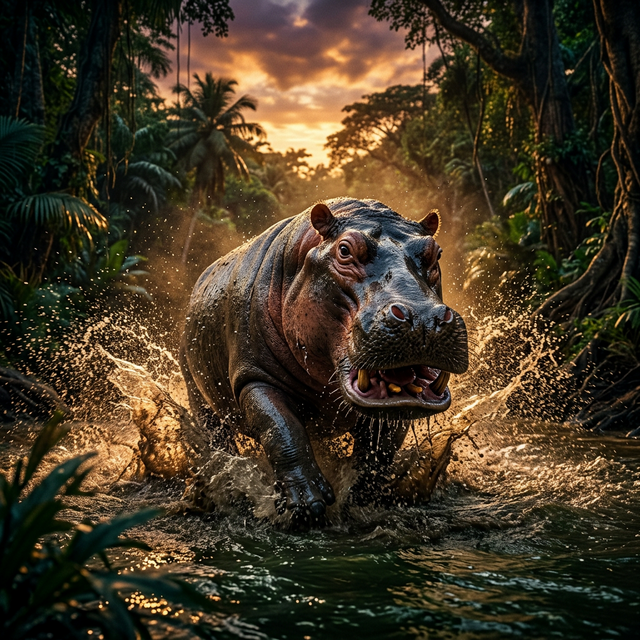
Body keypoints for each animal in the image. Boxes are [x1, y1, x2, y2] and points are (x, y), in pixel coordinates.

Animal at [180, 198, 468, 522]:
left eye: (435, 252)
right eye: (344, 250)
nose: (422, 317)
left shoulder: (397, 406)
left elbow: (379, 452)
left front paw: (362, 499)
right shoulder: (255, 376)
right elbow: (282, 429)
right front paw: (307, 505)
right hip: (199, 396)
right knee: (219, 439)